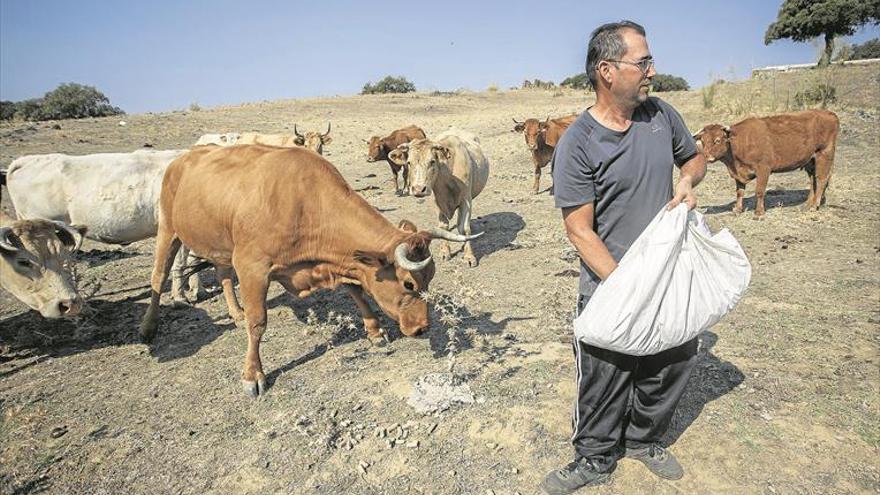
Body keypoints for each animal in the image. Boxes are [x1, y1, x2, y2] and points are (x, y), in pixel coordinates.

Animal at [140, 145, 478, 398]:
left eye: (430, 279)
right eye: (408, 284)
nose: (422, 327)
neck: (302, 201)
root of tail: (181, 159)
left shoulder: (342, 261)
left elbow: (357, 291)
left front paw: (374, 331)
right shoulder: (252, 268)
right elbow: (258, 323)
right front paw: (253, 374)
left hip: (220, 244)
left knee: (223, 274)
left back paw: (235, 313)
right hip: (168, 229)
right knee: (158, 276)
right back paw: (148, 328)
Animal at [696, 110, 840, 219]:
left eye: (717, 140)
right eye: (702, 141)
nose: (706, 156)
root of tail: (829, 113)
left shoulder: (763, 169)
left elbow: (759, 191)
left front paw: (759, 213)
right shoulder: (738, 174)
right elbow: (740, 192)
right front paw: (737, 209)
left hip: (824, 155)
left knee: (821, 179)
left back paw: (814, 206)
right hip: (811, 160)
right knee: (812, 180)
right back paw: (807, 204)